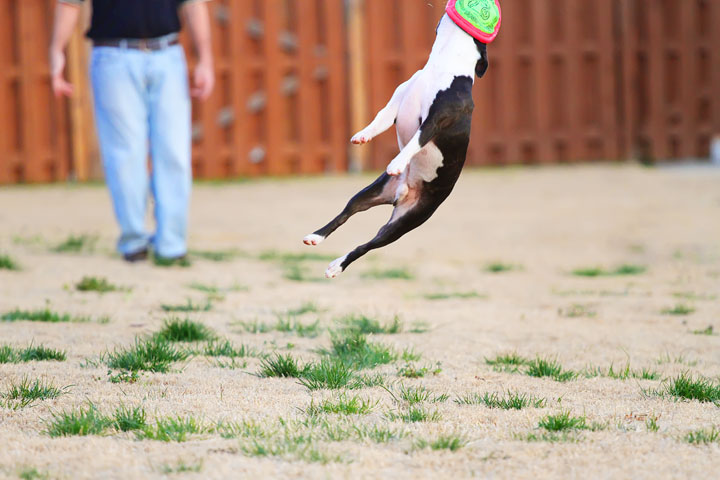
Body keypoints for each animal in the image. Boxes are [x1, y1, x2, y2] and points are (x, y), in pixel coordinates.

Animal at [300, 11, 492, 278]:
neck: (442, 64)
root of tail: (401, 194)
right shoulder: (396, 103)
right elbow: (379, 119)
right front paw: (362, 135)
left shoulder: (437, 119)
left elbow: (417, 140)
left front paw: (397, 162)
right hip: (369, 194)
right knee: (346, 213)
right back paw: (316, 237)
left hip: (404, 223)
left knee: (367, 246)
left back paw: (337, 265)